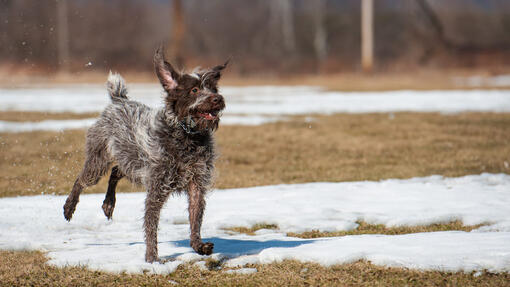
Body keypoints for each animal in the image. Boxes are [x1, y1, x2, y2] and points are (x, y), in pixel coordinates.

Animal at [61, 46, 227, 264]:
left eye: (213, 89)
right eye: (195, 90)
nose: (218, 99)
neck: (186, 135)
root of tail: (119, 100)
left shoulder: (196, 183)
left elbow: (195, 218)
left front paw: (198, 245)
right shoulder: (157, 187)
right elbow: (151, 226)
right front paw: (152, 258)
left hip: (131, 161)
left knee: (115, 171)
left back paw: (108, 204)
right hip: (99, 161)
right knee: (81, 180)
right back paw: (70, 206)